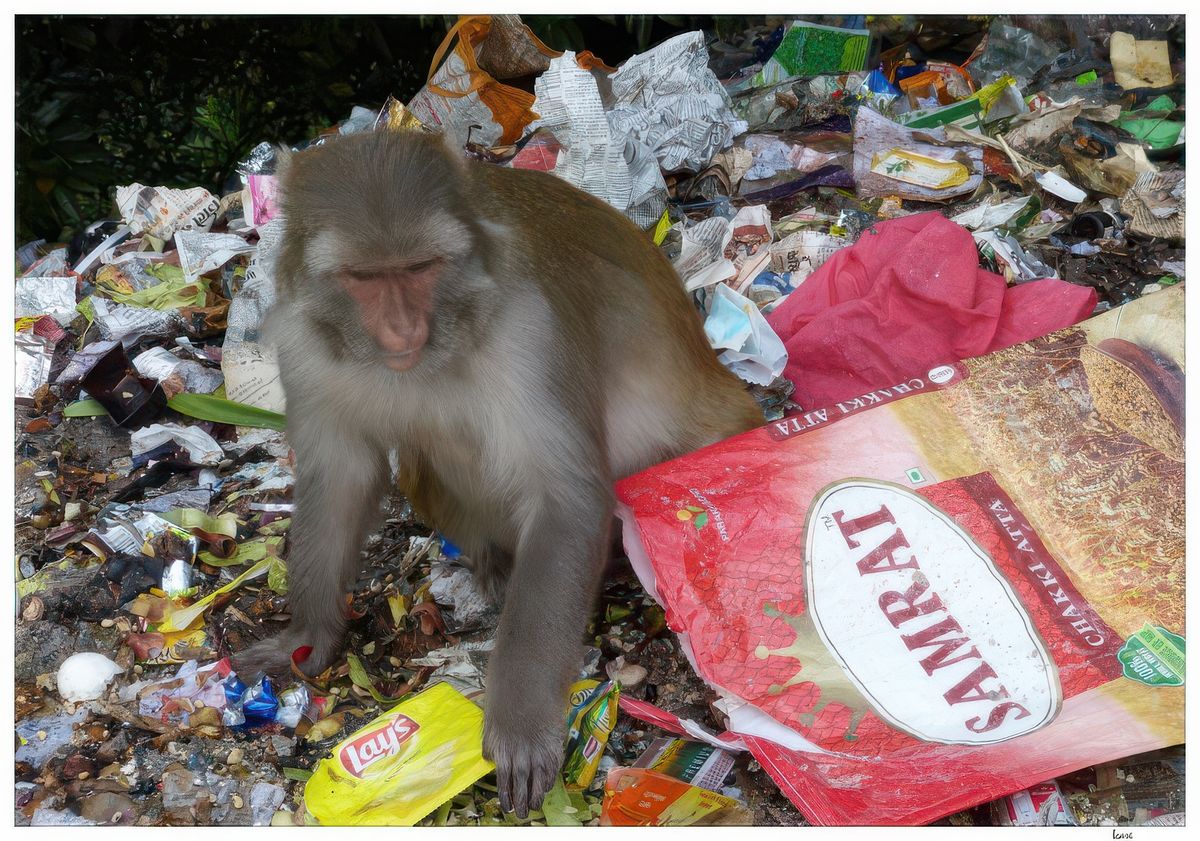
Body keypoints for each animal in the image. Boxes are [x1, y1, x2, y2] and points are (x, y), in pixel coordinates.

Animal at [233, 128, 763, 817]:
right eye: (364, 277)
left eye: (420, 267)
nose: (402, 326)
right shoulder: (304, 339)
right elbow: (340, 472)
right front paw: (306, 636)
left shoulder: (530, 328)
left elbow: (565, 497)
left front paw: (520, 724)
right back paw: (493, 562)